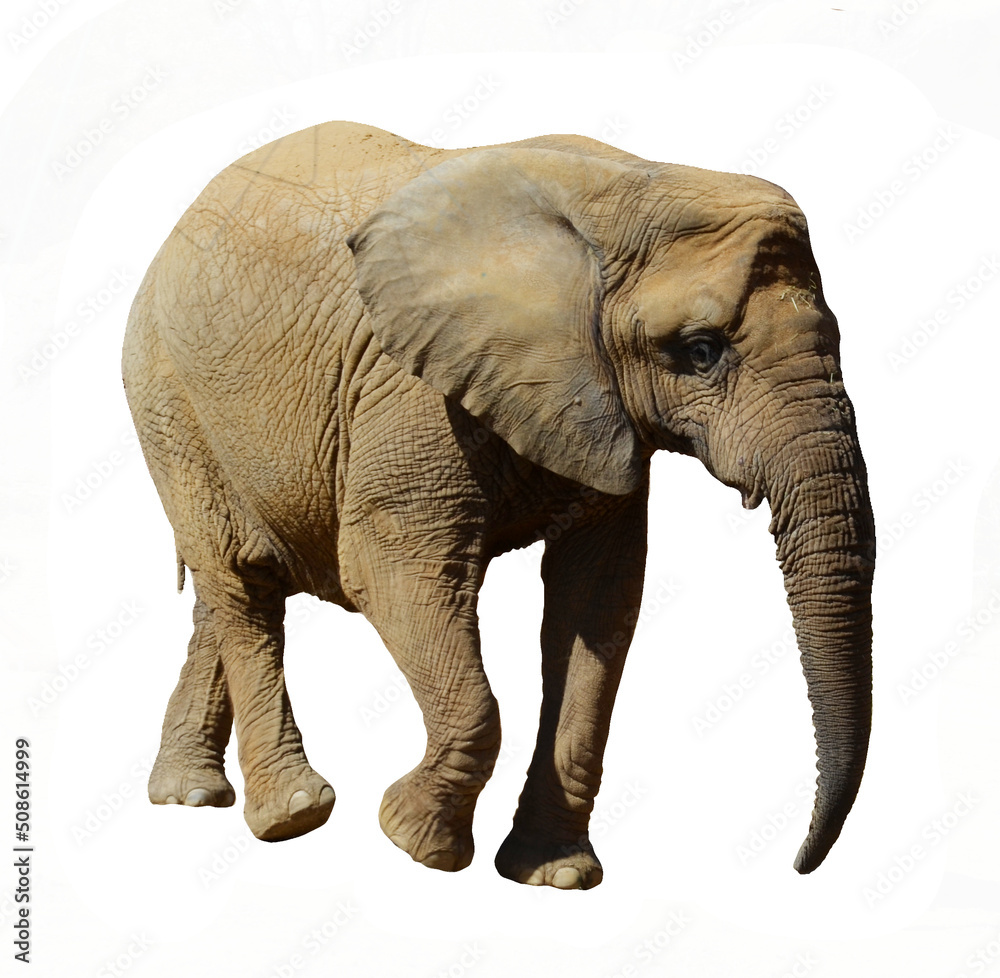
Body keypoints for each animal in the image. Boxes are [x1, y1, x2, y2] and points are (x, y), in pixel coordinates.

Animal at [121, 120, 875, 889]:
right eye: (700, 350)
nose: (799, 865)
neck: (635, 185)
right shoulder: (412, 388)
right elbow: (389, 567)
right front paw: (415, 841)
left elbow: (597, 601)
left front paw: (555, 875)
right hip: (166, 396)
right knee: (238, 580)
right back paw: (293, 814)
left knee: (228, 589)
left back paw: (189, 796)